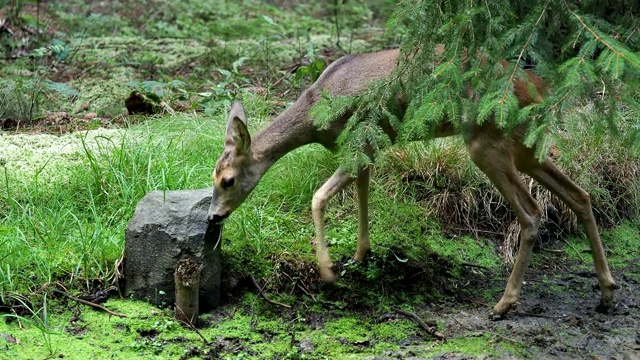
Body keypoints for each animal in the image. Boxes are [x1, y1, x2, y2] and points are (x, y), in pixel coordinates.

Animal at [208, 47, 616, 316]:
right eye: (212, 175)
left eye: (227, 180)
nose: (213, 216)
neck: (316, 111)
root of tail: (538, 88)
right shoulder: (367, 146)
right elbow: (362, 193)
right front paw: (359, 255)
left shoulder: (362, 138)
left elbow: (319, 197)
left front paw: (327, 271)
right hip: (526, 146)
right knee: (581, 195)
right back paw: (607, 292)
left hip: (487, 141)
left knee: (532, 213)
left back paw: (504, 303)